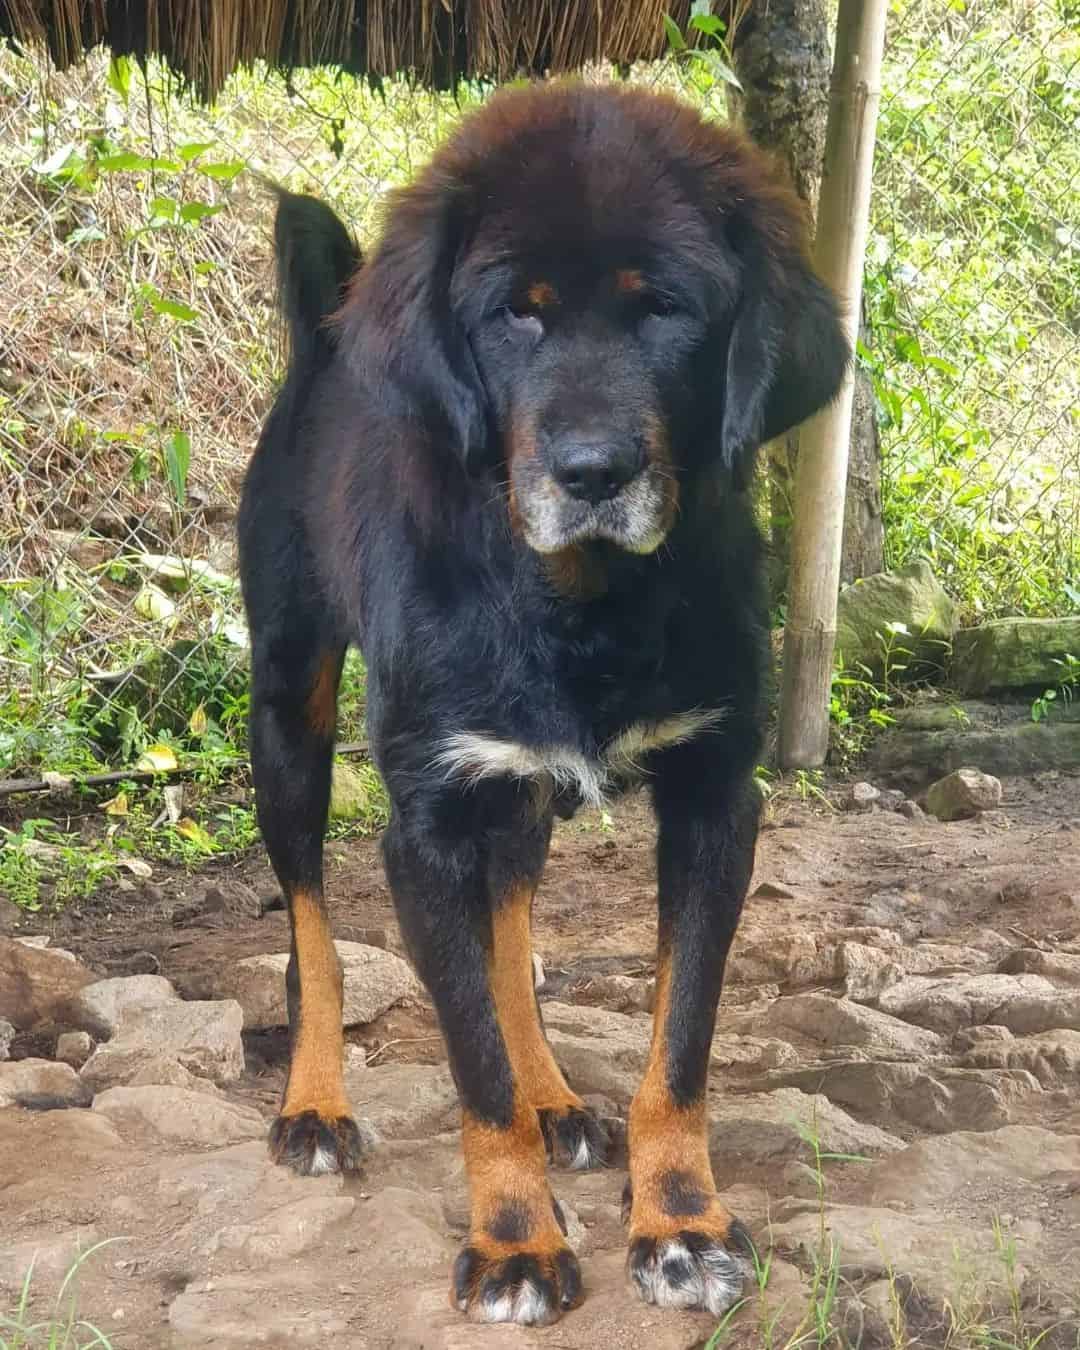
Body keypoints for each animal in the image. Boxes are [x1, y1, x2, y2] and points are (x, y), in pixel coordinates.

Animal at [238, 84, 853, 1328]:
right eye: (513, 316)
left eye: (666, 309)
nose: (592, 473)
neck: (579, 599)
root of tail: (326, 333)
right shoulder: (424, 820)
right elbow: (471, 1065)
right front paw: (515, 1240)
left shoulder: (715, 798)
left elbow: (678, 1045)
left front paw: (680, 1222)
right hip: (290, 721)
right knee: (313, 926)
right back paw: (315, 1102)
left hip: (516, 790)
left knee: (509, 924)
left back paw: (556, 1093)